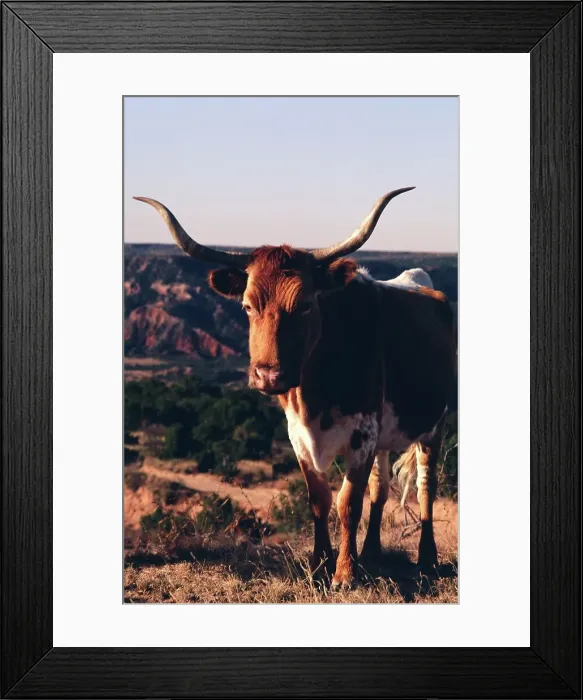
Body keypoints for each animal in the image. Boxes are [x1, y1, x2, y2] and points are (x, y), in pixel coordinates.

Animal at [134, 189, 456, 589]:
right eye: (247, 306)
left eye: (304, 305)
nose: (268, 376)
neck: (313, 391)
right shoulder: (300, 436)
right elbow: (319, 500)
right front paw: (320, 566)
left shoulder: (362, 434)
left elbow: (348, 502)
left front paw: (345, 574)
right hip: (387, 436)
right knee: (381, 489)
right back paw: (371, 553)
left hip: (434, 424)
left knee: (427, 486)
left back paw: (426, 559)